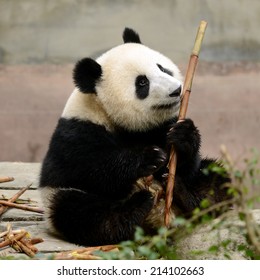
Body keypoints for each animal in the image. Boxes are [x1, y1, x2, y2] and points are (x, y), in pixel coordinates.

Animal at [39, 26, 230, 245]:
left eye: (162, 68)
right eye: (142, 82)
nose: (176, 90)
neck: (105, 111)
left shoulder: (162, 125)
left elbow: (190, 166)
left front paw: (183, 137)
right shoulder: (77, 133)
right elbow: (90, 168)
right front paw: (148, 158)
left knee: (216, 178)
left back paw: (187, 195)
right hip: (57, 197)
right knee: (80, 212)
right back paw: (136, 206)